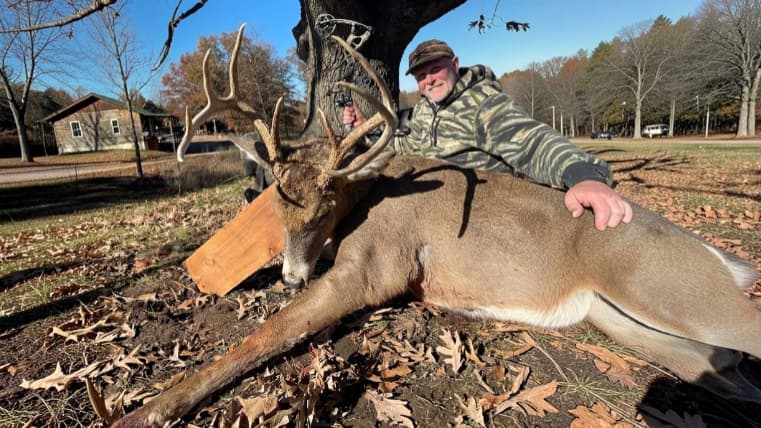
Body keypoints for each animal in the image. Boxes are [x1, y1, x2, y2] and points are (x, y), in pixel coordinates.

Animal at [113, 25, 761, 427]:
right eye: (276, 204)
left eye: (323, 206)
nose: (290, 274)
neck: (371, 193)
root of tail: (725, 261)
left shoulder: (376, 269)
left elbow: (264, 336)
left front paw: (141, 411)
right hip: (617, 316)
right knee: (723, 368)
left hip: (665, 286)